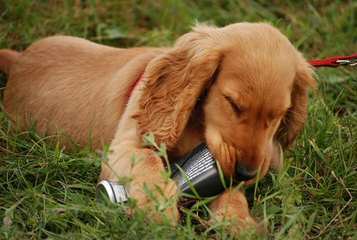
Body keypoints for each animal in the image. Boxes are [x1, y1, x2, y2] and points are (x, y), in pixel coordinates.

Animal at [0, 22, 314, 232]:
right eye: (233, 103)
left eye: (279, 115)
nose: (247, 173)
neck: (197, 124)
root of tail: (18, 61)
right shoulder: (125, 146)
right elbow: (148, 161)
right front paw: (157, 207)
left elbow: (230, 192)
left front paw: (238, 222)